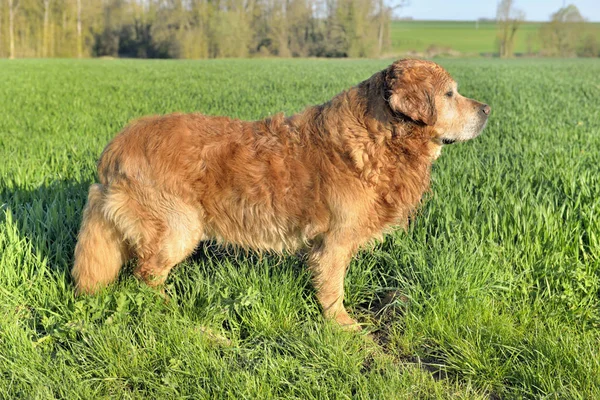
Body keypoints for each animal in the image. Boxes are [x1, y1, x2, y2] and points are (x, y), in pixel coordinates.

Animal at [72, 59, 490, 328]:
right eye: (450, 94)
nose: (487, 108)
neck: (378, 140)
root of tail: (114, 148)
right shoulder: (334, 242)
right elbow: (334, 291)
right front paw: (344, 327)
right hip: (178, 229)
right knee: (145, 274)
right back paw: (172, 312)